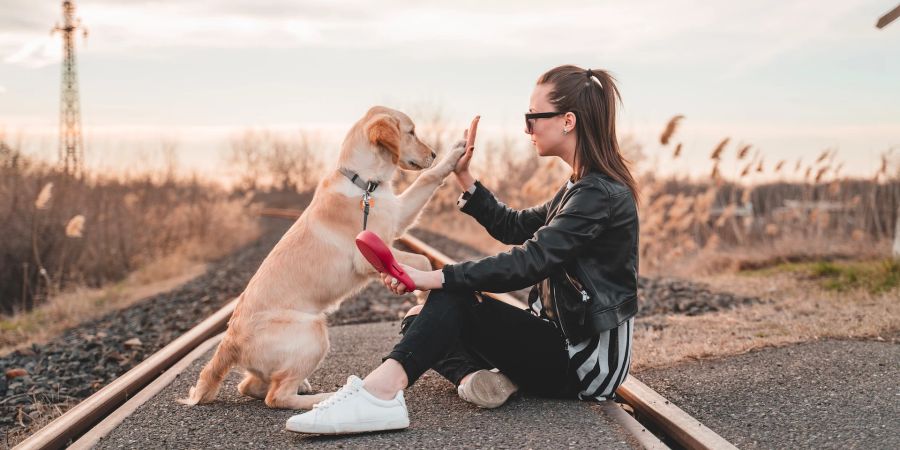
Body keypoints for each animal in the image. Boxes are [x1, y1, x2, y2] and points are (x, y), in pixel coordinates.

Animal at [180, 107, 468, 410]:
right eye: (411, 132)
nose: (434, 153)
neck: (364, 184)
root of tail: (229, 341)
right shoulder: (367, 253)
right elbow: (423, 260)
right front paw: (422, 296)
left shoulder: (398, 216)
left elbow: (427, 179)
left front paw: (455, 153)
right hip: (314, 331)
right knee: (276, 396)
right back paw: (324, 397)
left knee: (249, 386)